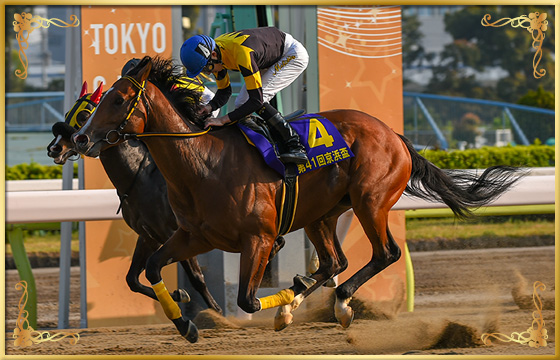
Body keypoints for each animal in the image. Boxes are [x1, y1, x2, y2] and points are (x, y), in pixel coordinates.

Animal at [72, 56, 524, 344]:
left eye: (117, 100)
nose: (79, 139)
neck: (203, 164)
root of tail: (395, 135)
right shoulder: (191, 236)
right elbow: (151, 269)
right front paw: (186, 323)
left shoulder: (259, 238)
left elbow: (247, 299)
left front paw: (283, 299)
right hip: (321, 213)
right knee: (334, 262)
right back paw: (303, 303)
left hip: (370, 201)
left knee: (385, 253)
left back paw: (340, 305)